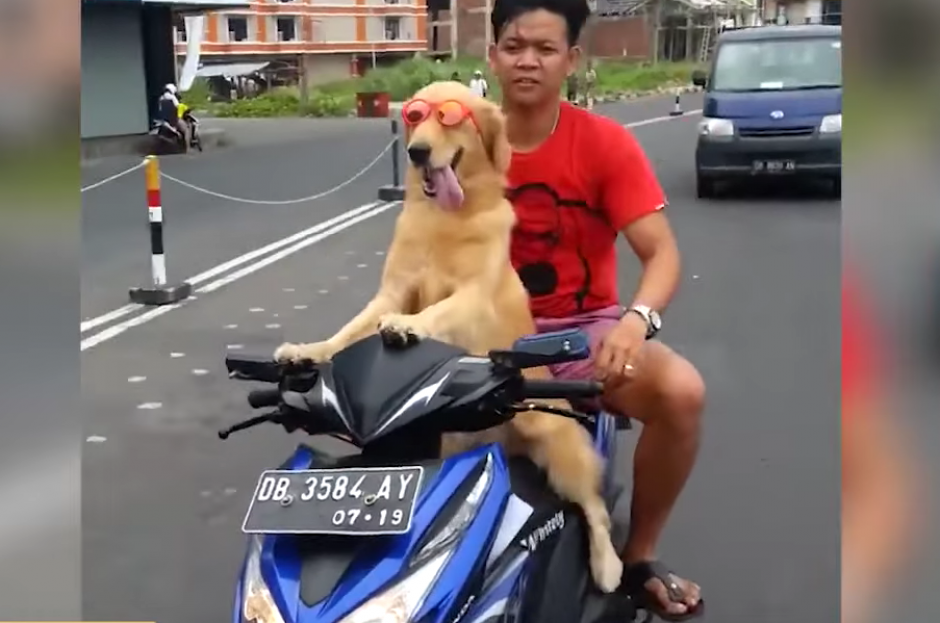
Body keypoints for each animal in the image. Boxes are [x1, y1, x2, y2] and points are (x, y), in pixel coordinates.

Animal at [274, 83, 624, 596]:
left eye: (450, 118)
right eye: (416, 116)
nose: (417, 152)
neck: (446, 218)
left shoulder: (472, 296)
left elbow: (437, 311)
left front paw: (408, 326)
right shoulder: (392, 291)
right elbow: (350, 330)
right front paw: (306, 352)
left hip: (552, 438)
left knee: (594, 505)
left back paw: (607, 564)